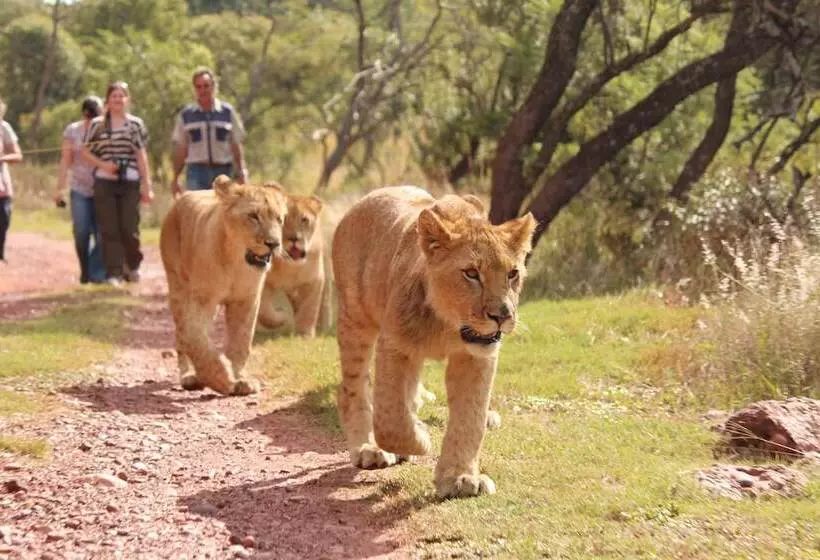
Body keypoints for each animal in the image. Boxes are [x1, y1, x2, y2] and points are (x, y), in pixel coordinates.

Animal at [159, 175, 287, 396]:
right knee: (181, 337)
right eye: (253, 216)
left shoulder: (247, 300)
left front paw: (240, 380)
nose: (273, 244)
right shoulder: (202, 299)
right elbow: (195, 338)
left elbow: (241, 340)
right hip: (177, 288)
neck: (236, 263)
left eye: (279, 219)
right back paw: (189, 377)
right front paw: (221, 378)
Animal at [257, 194, 327, 338]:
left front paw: (305, 334)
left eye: (304, 220)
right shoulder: (266, 282)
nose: (294, 239)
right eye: (282, 220)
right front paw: (282, 317)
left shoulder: (314, 280)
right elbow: (264, 311)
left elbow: (309, 308)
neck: (291, 267)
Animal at [332, 186, 536, 499]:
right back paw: (368, 448)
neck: (447, 326)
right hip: (355, 319)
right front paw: (420, 439)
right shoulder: (394, 344)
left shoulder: (476, 358)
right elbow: (390, 417)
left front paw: (461, 478)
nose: (502, 316)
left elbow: (469, 419)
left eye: (513, 274)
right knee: (352, 389)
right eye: (471, 273)